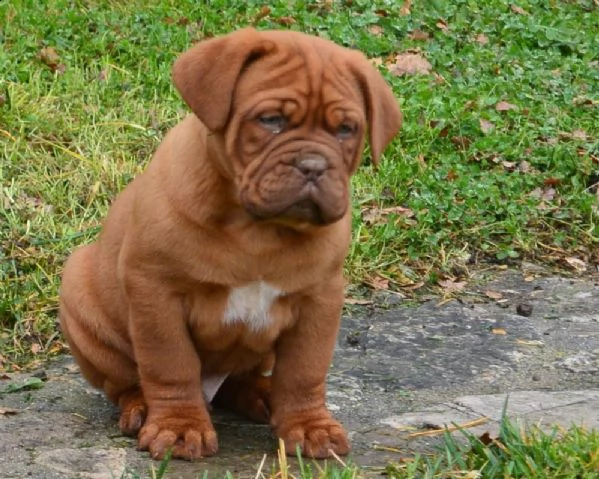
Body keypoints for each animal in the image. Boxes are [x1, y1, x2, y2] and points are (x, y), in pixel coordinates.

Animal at [59, 29, 404, 462]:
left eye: (346, 129)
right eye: (271, 120)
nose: (312, 165)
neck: (258, 230)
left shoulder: (319, 300)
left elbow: (304, 370)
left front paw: (309, 426)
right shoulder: (156, 292)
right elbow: (170, 364)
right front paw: (178, 427)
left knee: (244, 378)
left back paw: (262, 395)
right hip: (81, 302)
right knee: (127, 382)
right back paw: (140, 407)